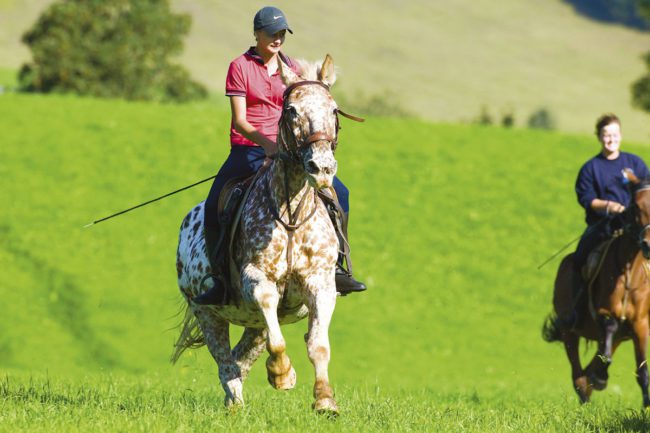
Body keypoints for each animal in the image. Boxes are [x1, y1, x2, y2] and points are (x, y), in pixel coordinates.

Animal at [172, 55, 344, 414]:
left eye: (334, 110)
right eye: (291, 110)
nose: (322, 167)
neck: (291, 215)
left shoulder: (321, 283)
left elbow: (318, 345)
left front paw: (324, 401)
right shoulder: (257, 280)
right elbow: (277, 340)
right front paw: (282, 375)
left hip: (252, 323)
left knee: (242, 357)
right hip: (206, 311)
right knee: (226, 362)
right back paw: (236, 403)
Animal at [540, 170, 650, 406]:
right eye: (636, 207)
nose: (647, 244)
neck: (629, 271)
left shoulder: (640, 323)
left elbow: (642, 370)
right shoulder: (604, 313)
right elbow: (607, 336)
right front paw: (599, 378)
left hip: (618, 336)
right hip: (569, 331)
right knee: (577, 373)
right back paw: (588, 388)